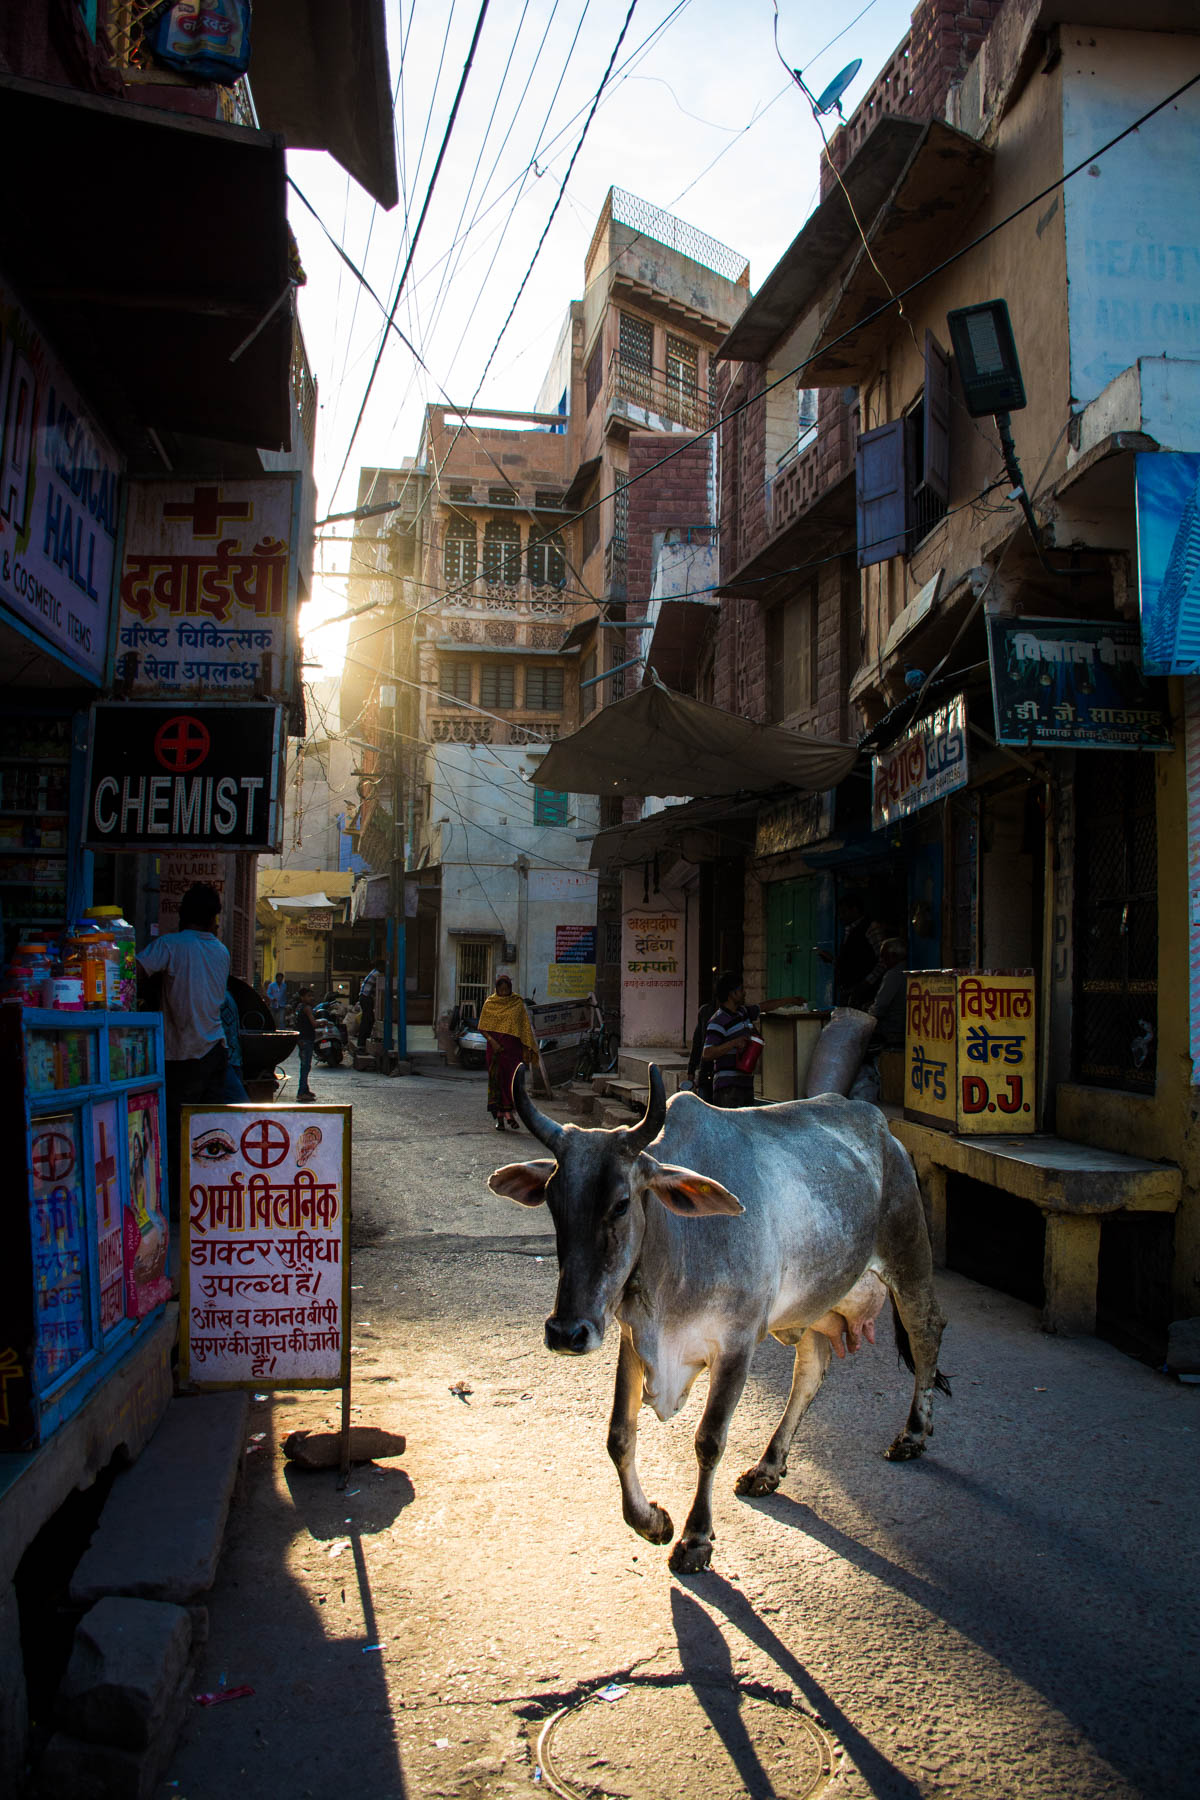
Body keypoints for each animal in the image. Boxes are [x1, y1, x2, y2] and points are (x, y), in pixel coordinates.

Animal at [489, 1065, 949, 1576]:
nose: (567, 1332)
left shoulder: (736, 1345)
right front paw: (651, 1521)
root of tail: (883, 1129)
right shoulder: (634, 1338)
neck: (675, 1246)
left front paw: (695, 1540)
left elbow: (709, 1440)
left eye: (622, 1203)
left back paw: (912, 1434)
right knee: (810, 1373)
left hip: (910, 1259)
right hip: (816, 1300)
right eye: (553, 1201)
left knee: (926, 1335)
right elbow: (619, 1437)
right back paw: (768, 1467)